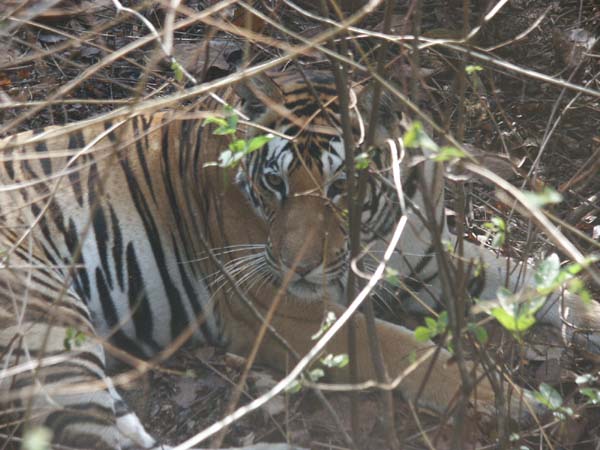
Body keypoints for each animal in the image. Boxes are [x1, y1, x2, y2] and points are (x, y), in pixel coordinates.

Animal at [1, 68, 600, 448]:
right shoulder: (290, 313)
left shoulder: (421, 254)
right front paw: (523, 404)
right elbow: (412, 352)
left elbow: (528, 278)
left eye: (341, 188)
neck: (380, 231)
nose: (297, 266)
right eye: (275, 183)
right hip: (49, 331)